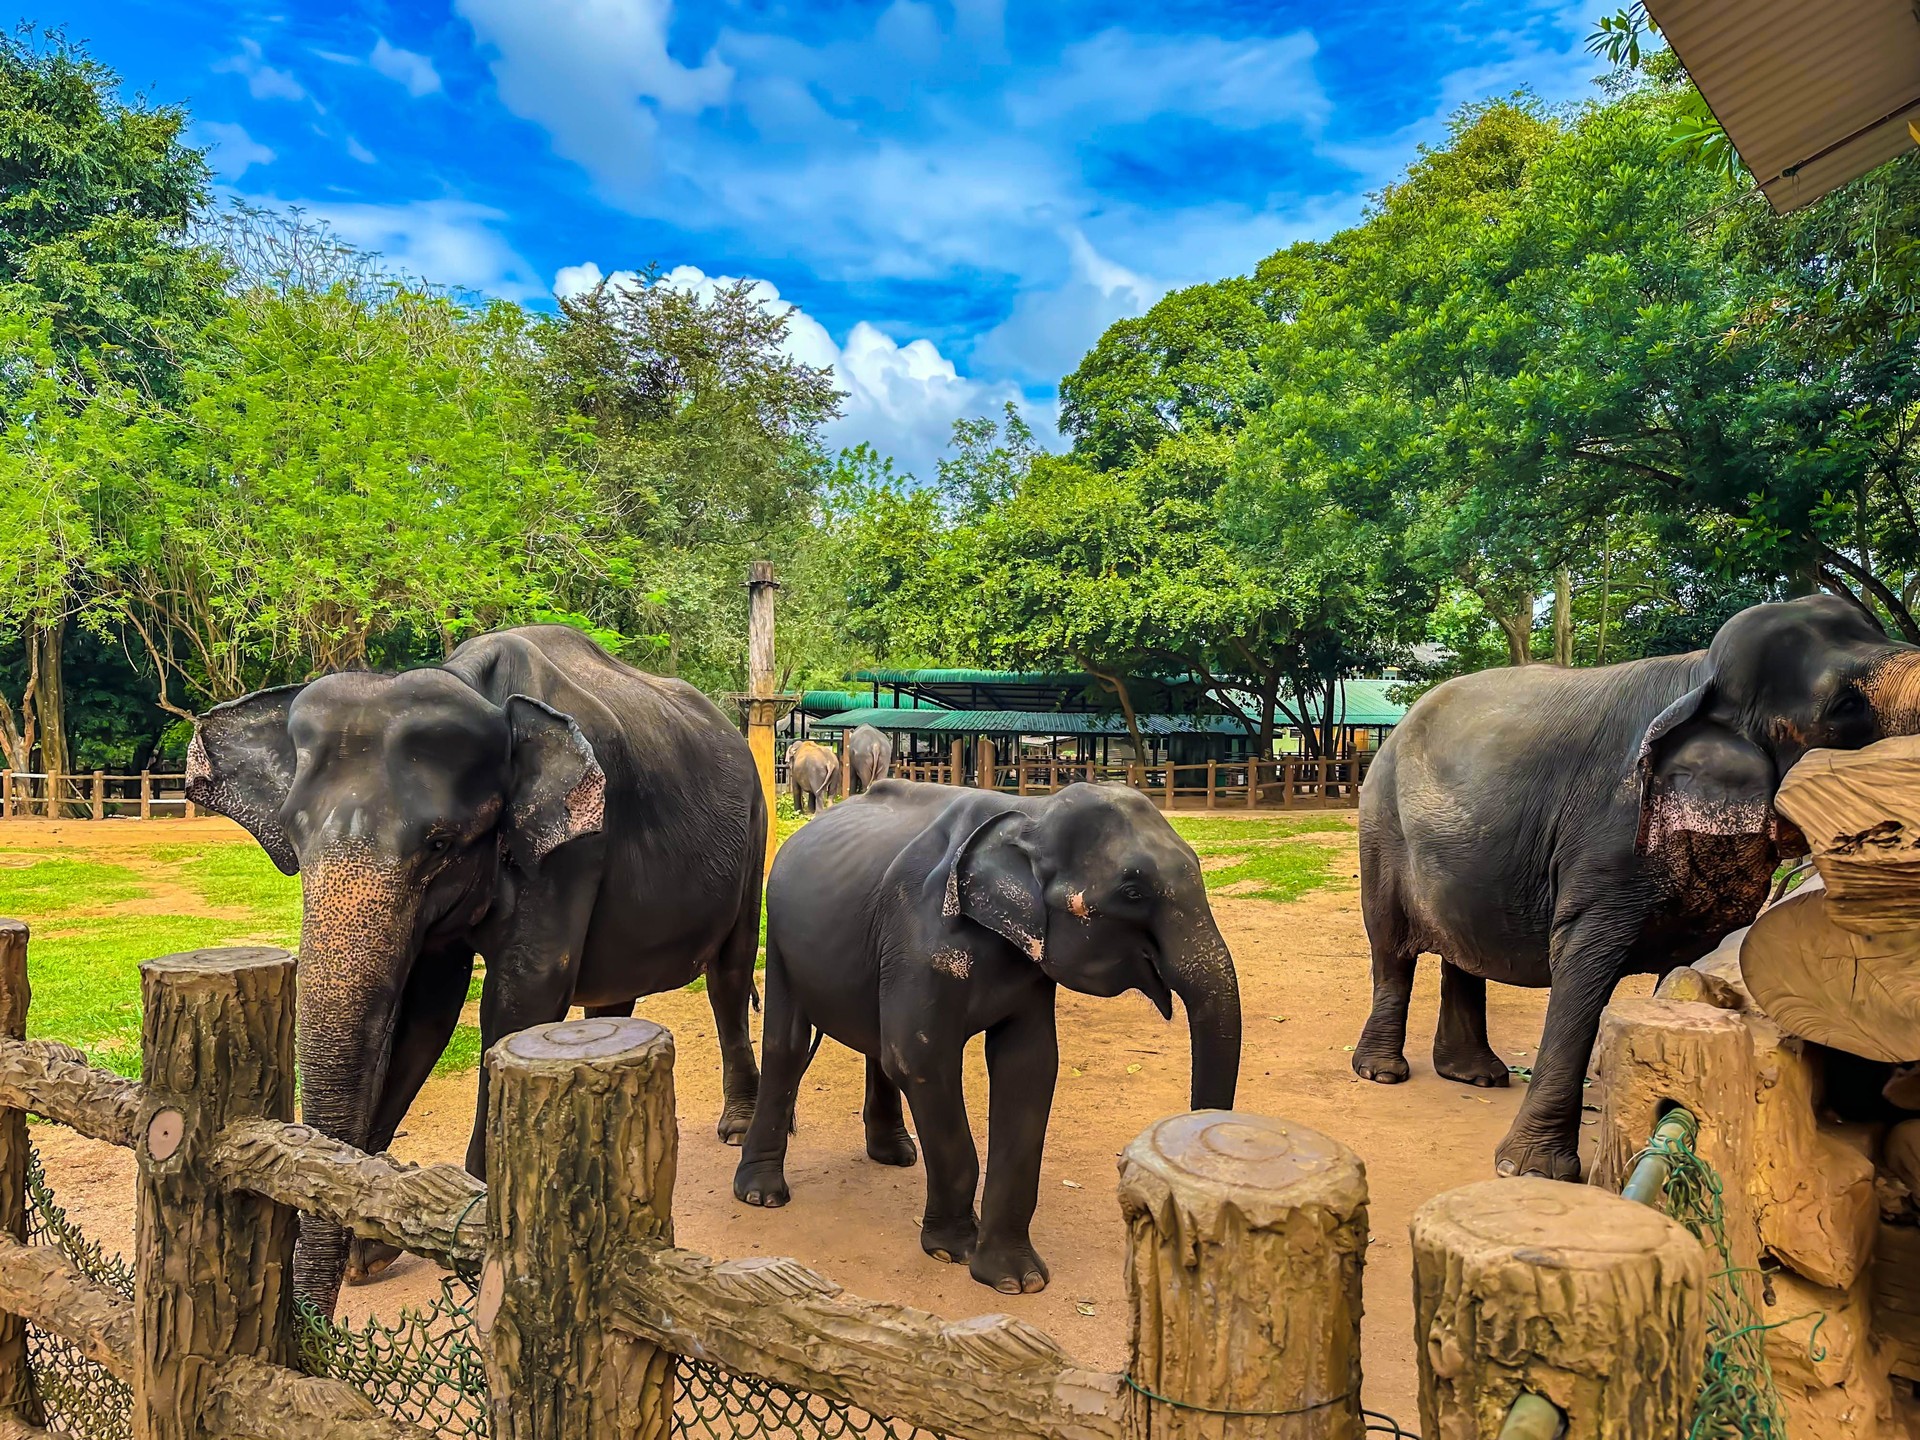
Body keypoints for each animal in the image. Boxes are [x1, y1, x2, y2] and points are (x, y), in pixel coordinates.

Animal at [186, 625, 765, 1314]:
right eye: (294, 840)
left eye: (439, 844)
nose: (312, 1324)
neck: (473, 685)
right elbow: (426, 1014)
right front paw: (369, 1251)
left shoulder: (575, 846)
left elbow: (521, 999)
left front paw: (468, 1226)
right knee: (614, 994)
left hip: (756, 829)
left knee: (730, 973)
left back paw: (738, 1127)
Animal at [733, 780, 1241, 1294]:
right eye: (1133, 890)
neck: (1031, 814)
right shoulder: (919, 933)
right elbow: (921, 1060)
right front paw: (952, 1250)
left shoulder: (1029, 967)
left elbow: (1029, 1065)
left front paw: (1017, 1280)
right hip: (780, 937)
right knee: (787, 1045)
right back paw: (761, 1196)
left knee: (876, 1045)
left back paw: (895, 1155)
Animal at [1355, 595, 1920, 1181]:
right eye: (1845, 706)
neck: (1701, 675)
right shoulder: (1610, 835)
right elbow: (1580, 963)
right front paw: (1530, 1171)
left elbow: (1693, 967)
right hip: (1381, 830)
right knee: (1391, 950)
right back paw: (1383, 1072)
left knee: (1462, 955)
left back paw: (1476, 1076)